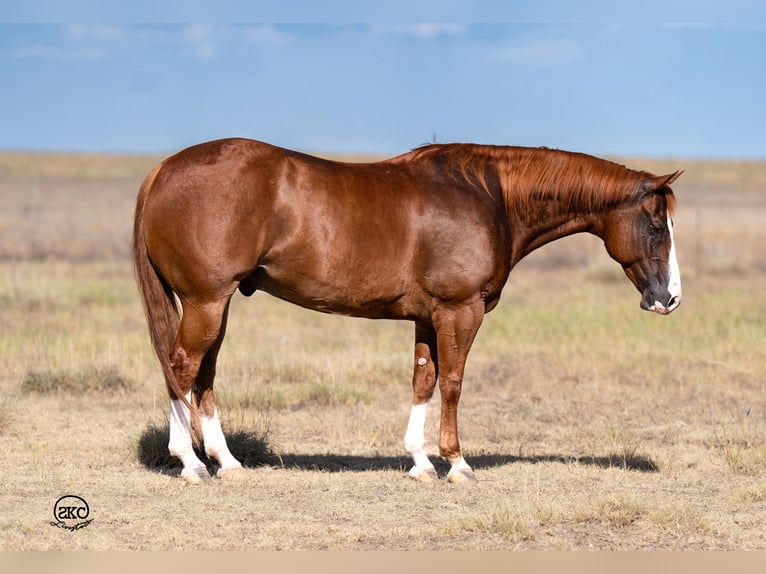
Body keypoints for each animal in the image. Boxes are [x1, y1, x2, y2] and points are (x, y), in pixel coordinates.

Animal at [134, 140, 684, 486]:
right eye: (657, 226)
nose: (670, 299)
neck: (490, 197)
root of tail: (162, 170)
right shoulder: (461, 312)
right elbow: (454, 383)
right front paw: (456, 463)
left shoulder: (427, 318)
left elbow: (423, 380)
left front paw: (420, 461)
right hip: (207, 302)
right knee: (181, 368)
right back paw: (190, 463)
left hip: (216, 305)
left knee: (202, 375)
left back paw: (226, 461)